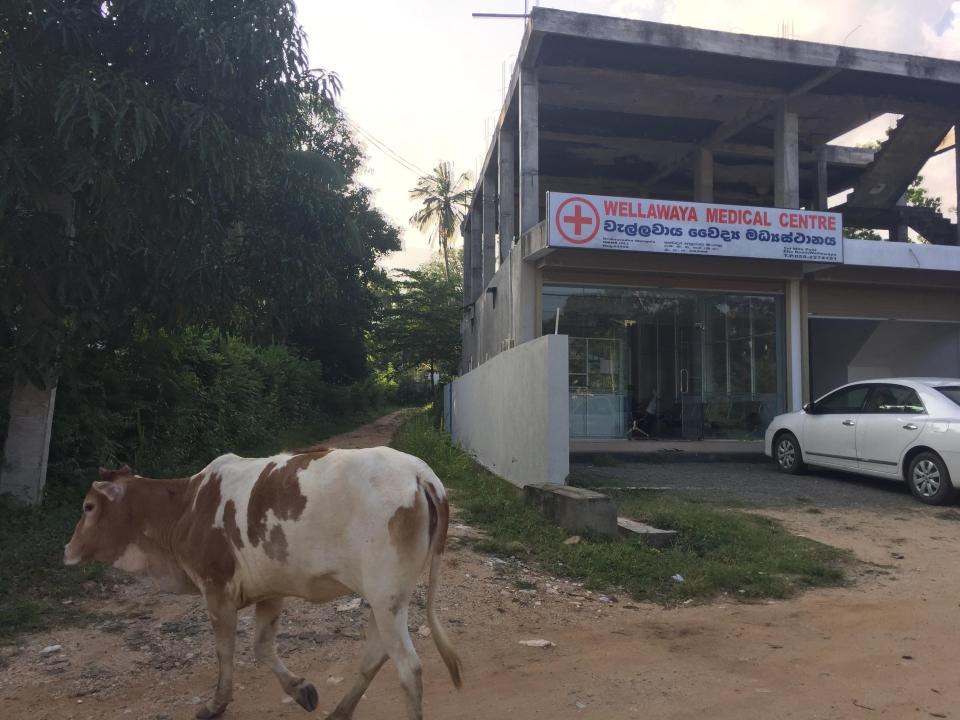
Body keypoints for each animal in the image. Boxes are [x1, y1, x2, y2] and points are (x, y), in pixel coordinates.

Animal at [62, 448, 462, 716]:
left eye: (88, 507)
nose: (67, 549)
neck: (188, 506)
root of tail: (420, 473)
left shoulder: (216, 588)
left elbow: (225, 652)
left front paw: (216, 705)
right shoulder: (271, 590)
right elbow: (262, 646)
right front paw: (300, 689)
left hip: (385, 595)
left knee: (409, 668)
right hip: (386, 598)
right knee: (375, 655)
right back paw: (340, 712)